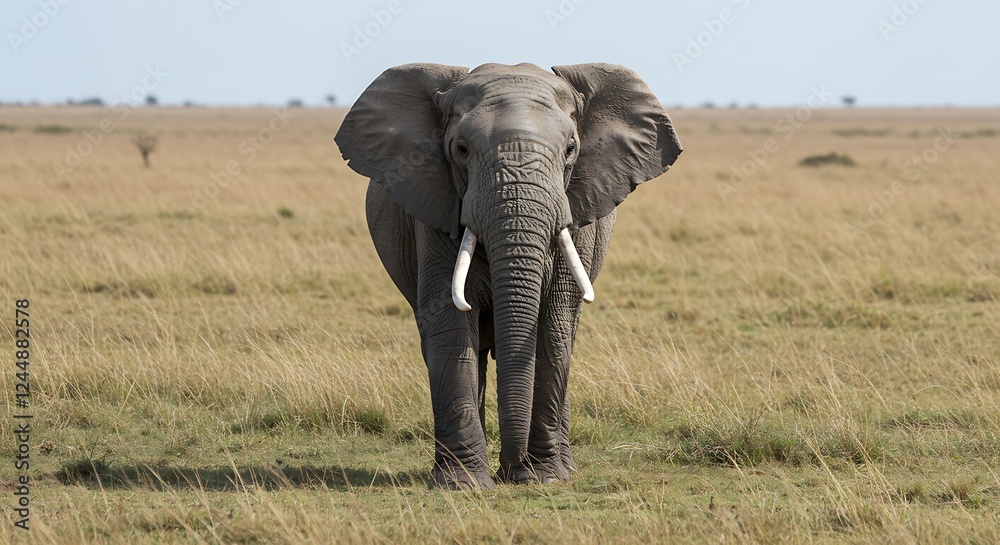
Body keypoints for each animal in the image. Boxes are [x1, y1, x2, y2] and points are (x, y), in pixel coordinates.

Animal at [334, 62, 682, 489]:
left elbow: (553, 326)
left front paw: (542, 477)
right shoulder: (434, 208)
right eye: (461, 150)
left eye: (571, 149)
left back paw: (562, 467)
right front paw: (463, 484)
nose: (511, 470)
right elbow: (450, 325)